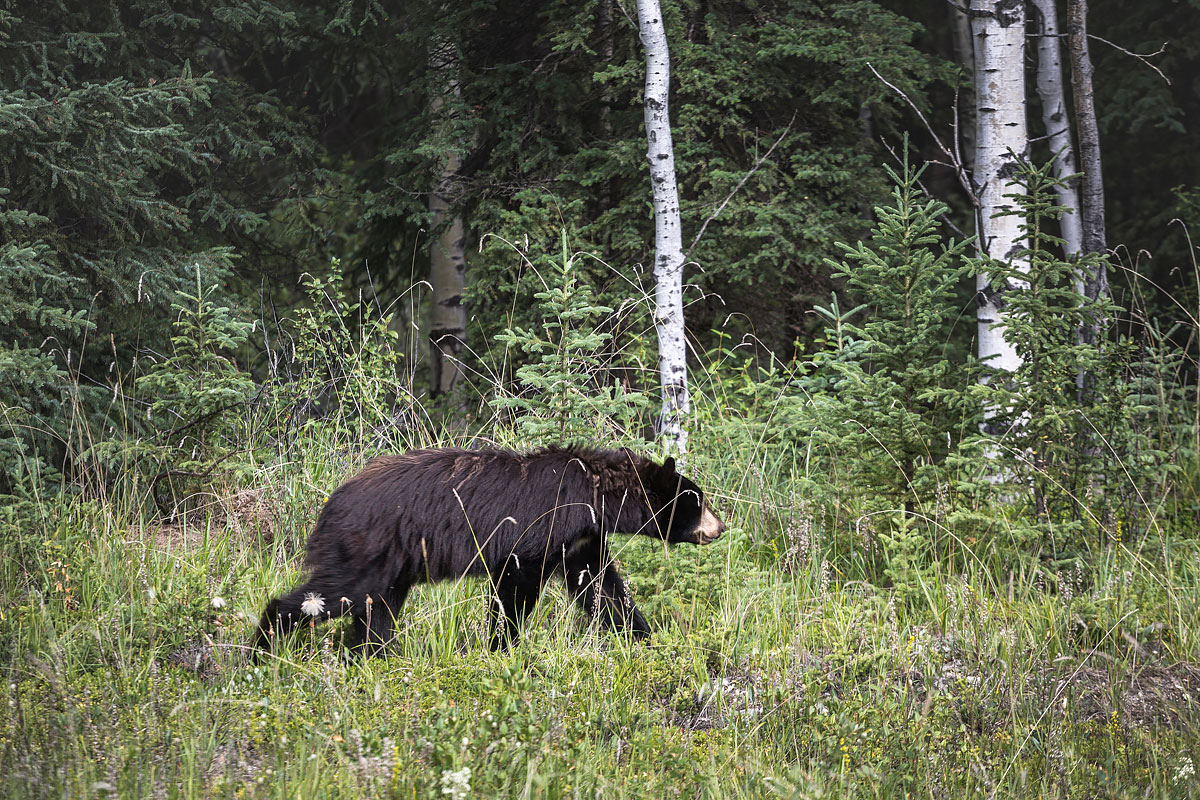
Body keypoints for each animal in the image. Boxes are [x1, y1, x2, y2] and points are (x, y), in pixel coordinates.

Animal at [250, 443, 720, 657]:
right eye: (698, 501)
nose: (720, 527)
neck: (592, 494)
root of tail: (332, 502)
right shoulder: (536, 532)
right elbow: (515, 588)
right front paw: (502, 646)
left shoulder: (580, 542)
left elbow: (602, 589)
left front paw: (643, 638)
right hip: (367, 547)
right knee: (330, 595)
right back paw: (260, 649)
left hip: (394, 563)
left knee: (376, 608)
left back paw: (374, 655)